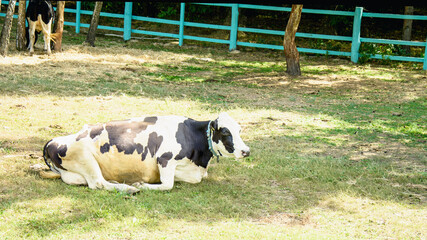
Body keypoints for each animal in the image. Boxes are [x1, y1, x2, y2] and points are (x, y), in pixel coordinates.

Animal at [41, 112, 251, 193]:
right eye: (226, 131)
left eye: (239, 130)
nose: (246, 151)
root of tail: (54, 140)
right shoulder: (165, 158)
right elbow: (167, 185)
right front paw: (142, 184)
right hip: (85, 157)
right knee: (98, 183)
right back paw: (130, 188)